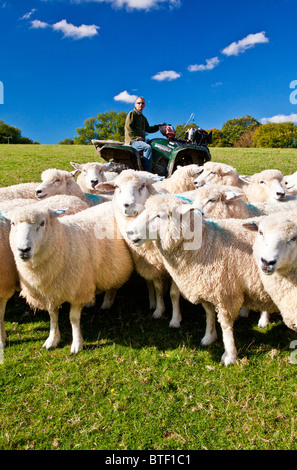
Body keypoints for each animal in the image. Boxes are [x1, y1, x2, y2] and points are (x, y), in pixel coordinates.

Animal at [6, 204, 133, 354]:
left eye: (42, 223)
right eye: (13, 224)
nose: (23, 250)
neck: (64, 241)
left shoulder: (78, 289)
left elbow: (73, 318)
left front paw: (77, 344)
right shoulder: (49, 292)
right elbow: (53, 316)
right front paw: (52, 340)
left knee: (113, 285)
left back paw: (107, 302)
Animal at [96, 171, 182, 328]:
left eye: (142, 185)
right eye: (117, 187)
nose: (128, 205)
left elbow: (174, 293)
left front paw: (175, 320)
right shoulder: (154, 264)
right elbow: (158, 288)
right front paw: (159, 310)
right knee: (150, 283)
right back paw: (152, 302)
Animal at [125, 193, 278, 366]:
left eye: (159, 215)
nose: (129, 232)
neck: (205, 245)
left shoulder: (226, 294)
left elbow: (225, 325)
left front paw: (230, 355)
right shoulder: (207, 287)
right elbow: (209, 314)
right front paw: (209, 337)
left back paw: (263, 320)